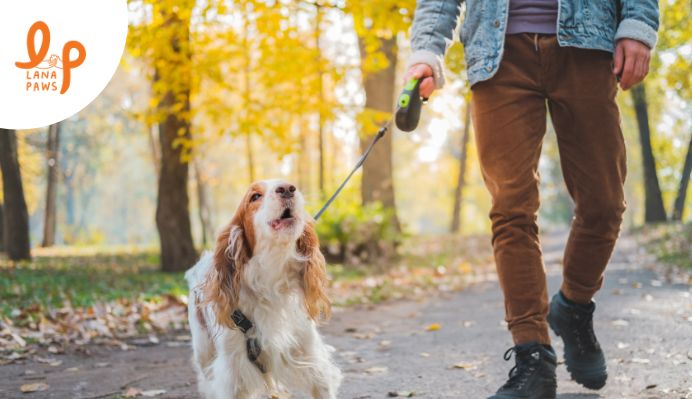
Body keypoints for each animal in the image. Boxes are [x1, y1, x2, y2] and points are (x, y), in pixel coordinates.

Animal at [185, 180, 342, 399]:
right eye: (255, 197)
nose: (287, 189)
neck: (271, 279)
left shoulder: (310, 356)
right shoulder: (232, 371)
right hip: (203, 352)